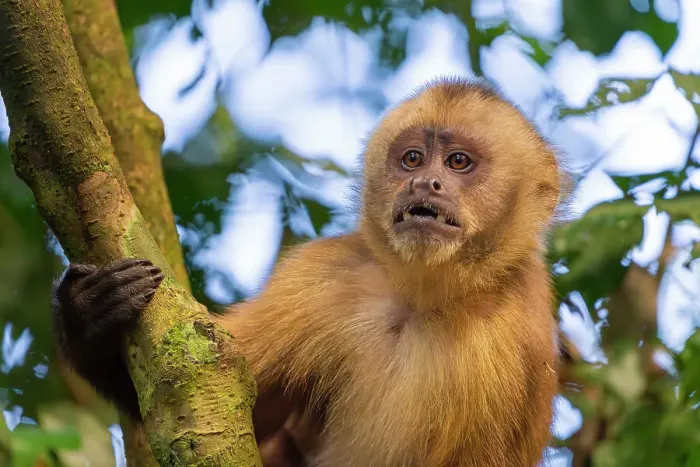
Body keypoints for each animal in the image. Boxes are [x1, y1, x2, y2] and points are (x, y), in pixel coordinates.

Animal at [52, 77, 563, 467]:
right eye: (412, 159)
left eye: (458, 162)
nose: (424, 183)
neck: (423, 300)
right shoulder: (328, 275)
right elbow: (218, 398)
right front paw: (87, 313)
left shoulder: (513, 334)